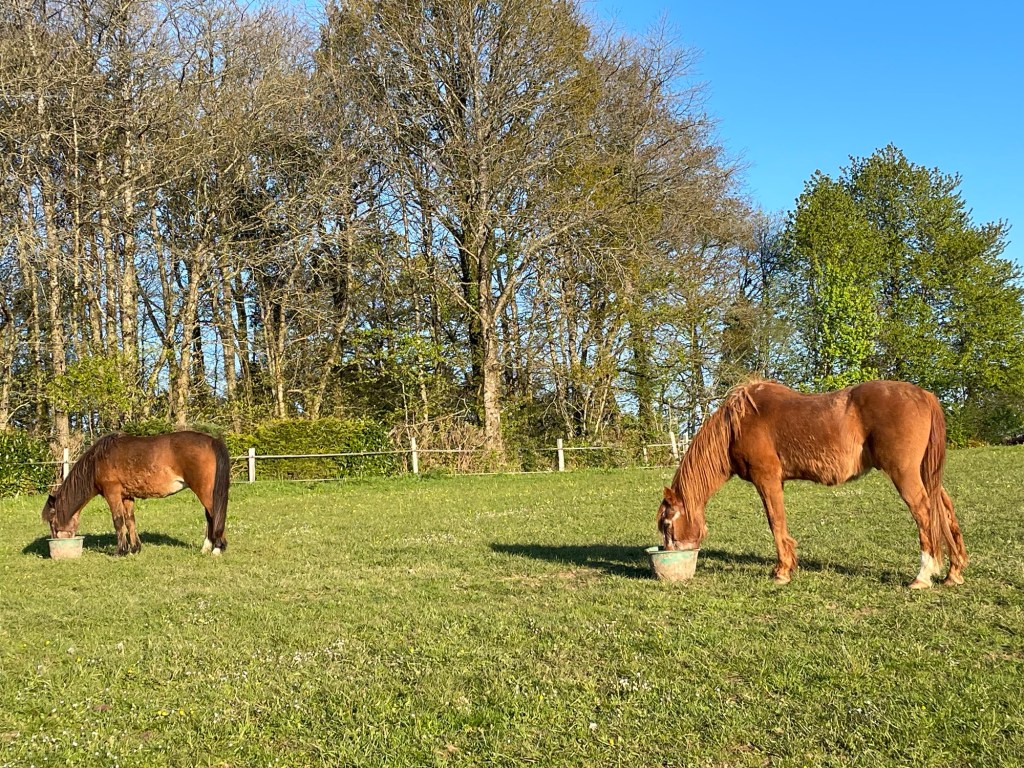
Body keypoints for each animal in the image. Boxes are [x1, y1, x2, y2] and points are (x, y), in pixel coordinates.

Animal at [41, 431, 231, 556]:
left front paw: (120, 551)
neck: (97, 462)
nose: (54, 543)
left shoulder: (112, 493)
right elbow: (130, 521)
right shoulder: (126, 496)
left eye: (52, 521)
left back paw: (216, 548)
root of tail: (212, 441)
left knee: (214, 515)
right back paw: (207, 547)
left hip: (205, 491)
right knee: (210, 517)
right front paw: (134, 548)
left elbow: (118, 521)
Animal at [657, 380, 967, 588]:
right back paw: (954, 572)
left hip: (905, 474)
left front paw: (782, 571)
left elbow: (775, 522)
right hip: (926, 474)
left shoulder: (767, 479)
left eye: (668, 525)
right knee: (944, 510)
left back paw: (923, 576)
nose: (669, 560)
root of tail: (924, 395)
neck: (737, 425)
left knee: (925, 513)